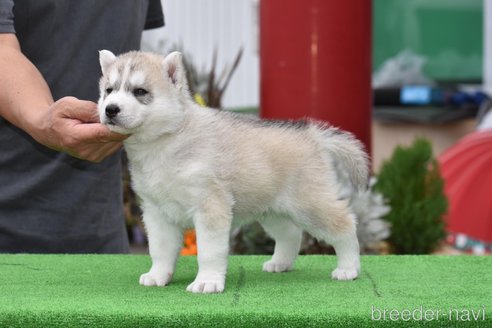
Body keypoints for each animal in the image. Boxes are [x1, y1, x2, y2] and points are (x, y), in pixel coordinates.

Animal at [98, 50, 368, 294]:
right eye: (109, 90)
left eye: (140, 91)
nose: (110, 109)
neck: (164, 142)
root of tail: (313, 135)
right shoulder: (156, 211)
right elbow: (160, 249)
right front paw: (158, 275)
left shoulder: (210, 206)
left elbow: (208, 251)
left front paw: (207, 282)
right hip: (273, 211)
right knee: (291, 234)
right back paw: (280, 263)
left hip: (311, 204)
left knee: (345, 225)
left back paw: (349, 268)